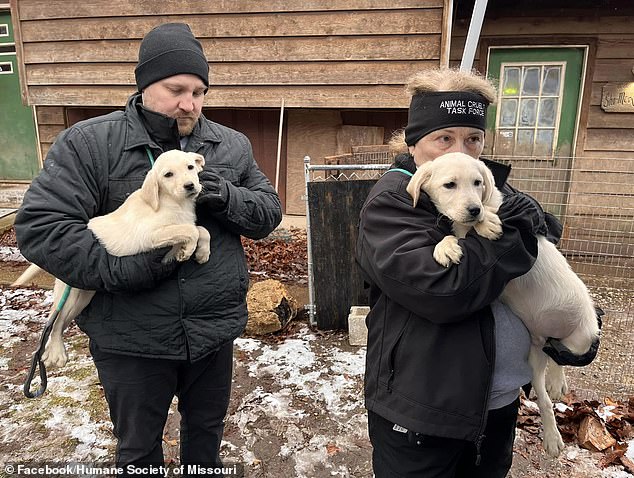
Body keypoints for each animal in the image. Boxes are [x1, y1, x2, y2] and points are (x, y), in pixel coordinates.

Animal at [13, 148, 211, 370]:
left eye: (190, 167)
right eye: (168, 175)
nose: (190, 186)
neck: (173, 202)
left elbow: (201, 230)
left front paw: (201, 253)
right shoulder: (151, 236)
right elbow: (190, 230)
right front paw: (188, 250)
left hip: (82, 297)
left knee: (61, 321)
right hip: (69, 293)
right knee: (54, 320)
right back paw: (55, 353)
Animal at [404, 152, 596, 456]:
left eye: (477, 183)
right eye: (449, 185)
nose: (473, 209)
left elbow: (491, 213)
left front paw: (486, 221)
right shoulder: (459, 228)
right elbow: (452, 235)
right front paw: (445, 247)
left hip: (583, 337)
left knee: (561, 356)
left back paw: (557, 386)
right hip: (535, 353)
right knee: (545, 389)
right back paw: (552, 427)